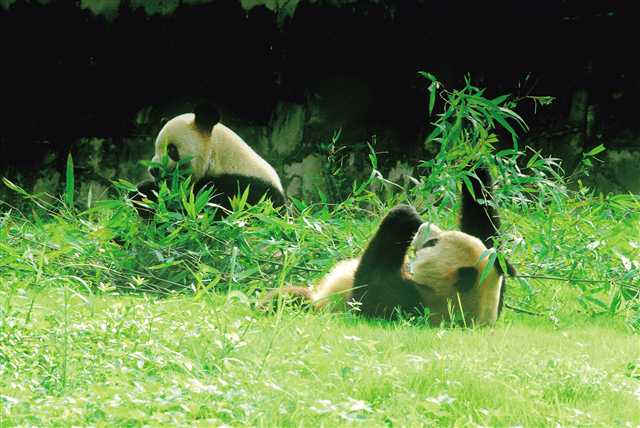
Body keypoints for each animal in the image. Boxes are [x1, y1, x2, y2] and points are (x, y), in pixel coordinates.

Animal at [262, 166, 516, 326]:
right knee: (291, 296)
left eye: (433, 243)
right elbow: (486, 234)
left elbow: (366, 294)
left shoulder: (408, 305)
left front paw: (406, 216)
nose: (424, 228)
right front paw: (476, 174)